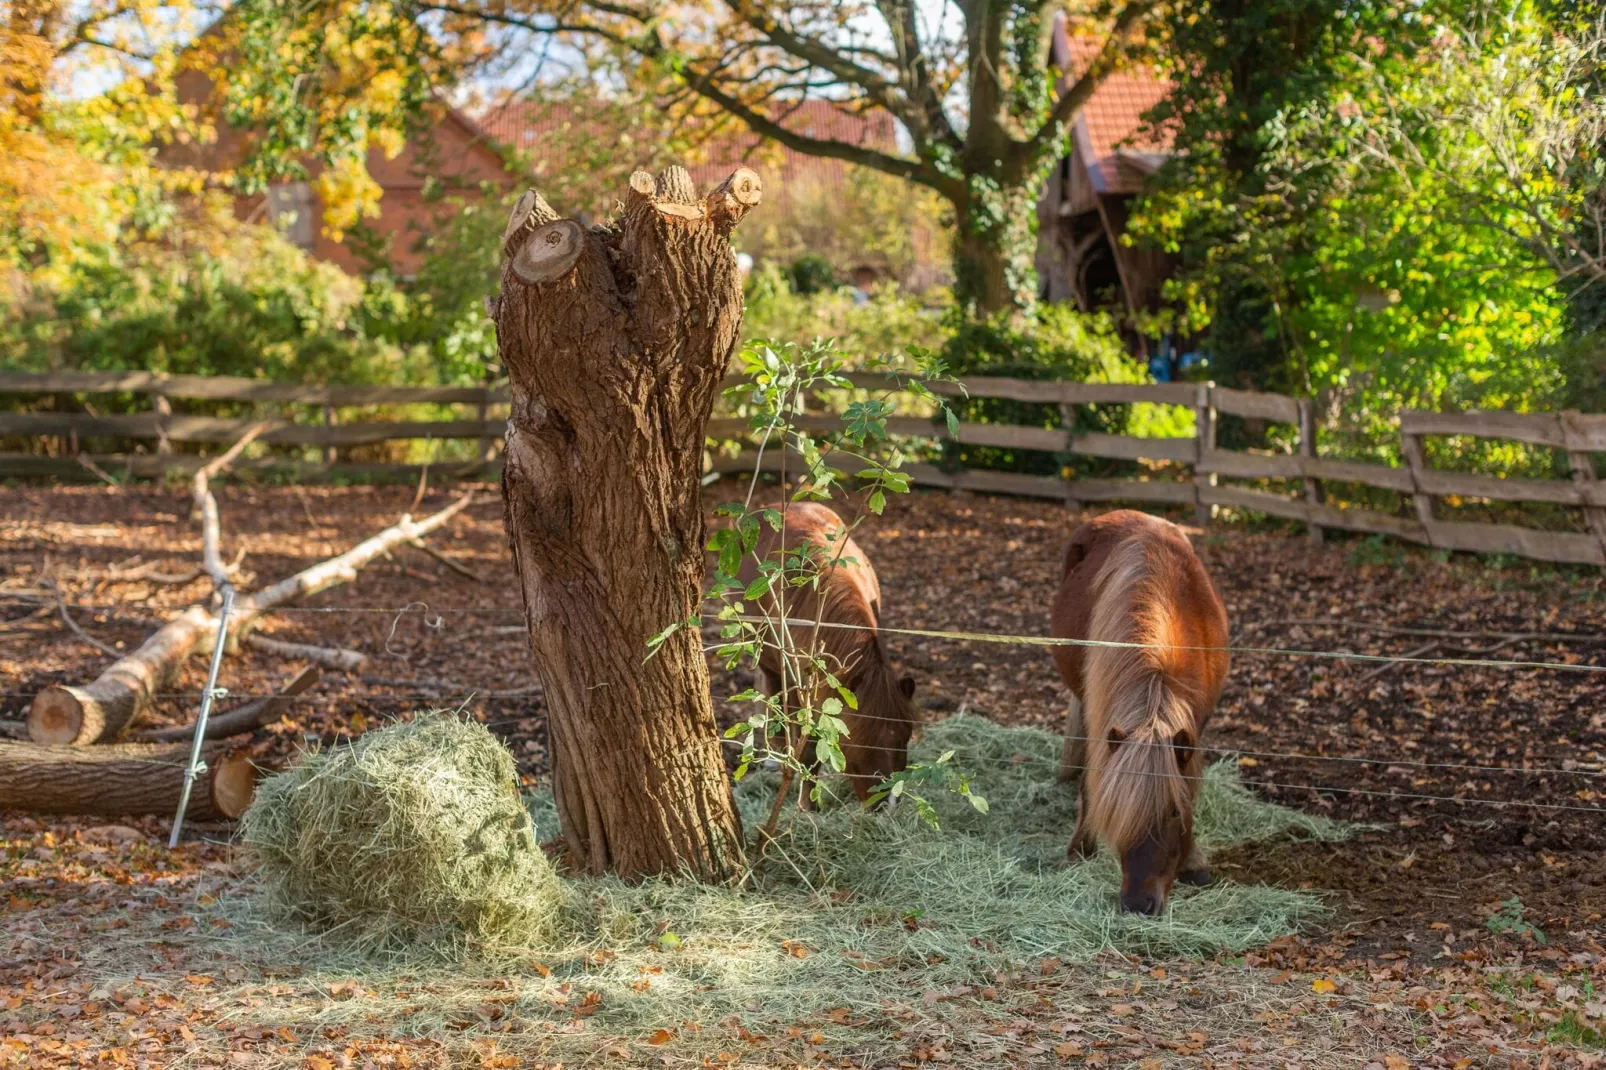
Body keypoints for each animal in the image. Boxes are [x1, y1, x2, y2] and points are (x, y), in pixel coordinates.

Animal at [1047, 507, 1233, 906]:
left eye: (1175, 813)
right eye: (1117, 811)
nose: (1137, 904)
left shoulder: (1196, 725)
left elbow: (1189, 779)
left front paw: (1194, 862)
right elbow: (1092, 781)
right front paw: (1079, 848)